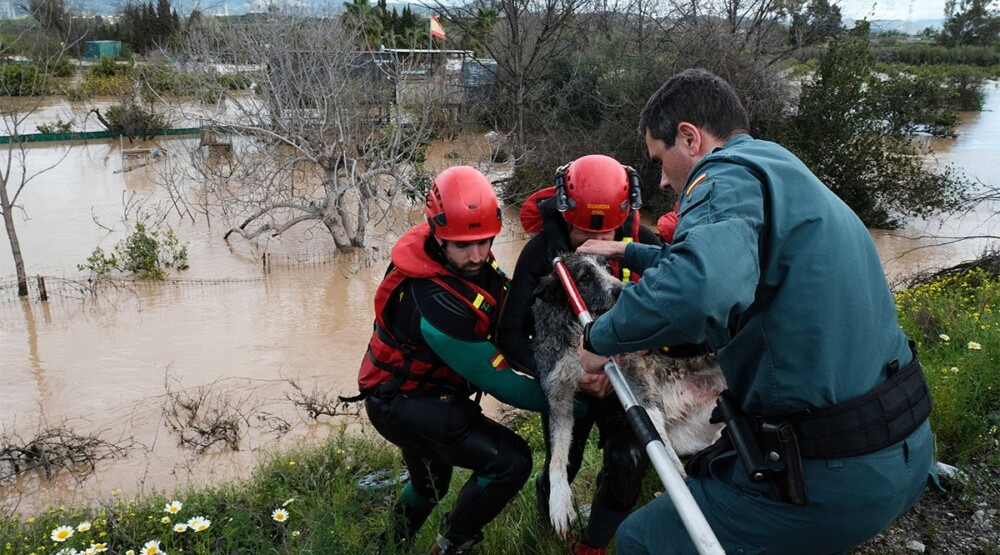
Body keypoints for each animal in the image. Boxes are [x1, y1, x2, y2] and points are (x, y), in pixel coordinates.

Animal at [532, 253, 728, 540]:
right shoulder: (559, 397)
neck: (577, 329)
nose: (623, 290)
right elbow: (558, 457)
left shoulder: (636, 375)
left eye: (606, 266)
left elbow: (659, 438)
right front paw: (559, 505)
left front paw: (680, 485)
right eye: (585, 276)